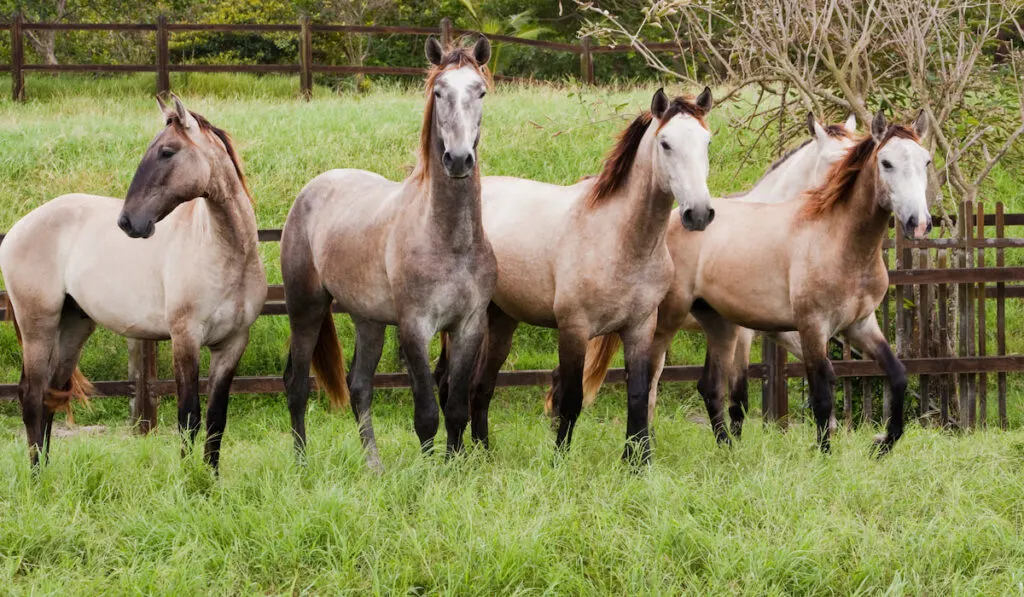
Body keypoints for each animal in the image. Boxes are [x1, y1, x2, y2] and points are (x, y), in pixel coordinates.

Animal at [1, 93, 264, 468]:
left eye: (167, 152)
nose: (127, 222)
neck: (227, 253)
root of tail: (16, 231)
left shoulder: (232, 344)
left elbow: (216, 421)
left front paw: (211, 478)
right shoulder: (186, 339)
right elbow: (189, 417)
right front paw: (188, 479)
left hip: (73, 327)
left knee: (50, 395)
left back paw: (47, 472)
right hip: (39, 327)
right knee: (32, 396)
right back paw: (36, 475)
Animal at [282, 36, 497, 471]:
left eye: (480, 91)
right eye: (438, 91)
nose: (459, 159)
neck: (451, 241)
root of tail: (311, 190)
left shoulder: (468, 326)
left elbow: (456, 409)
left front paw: (454, 467)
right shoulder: (415, 327)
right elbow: (427, 412)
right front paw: (431, 473)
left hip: (369, 321)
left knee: (360, 387)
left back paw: (373, 466)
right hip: (306, 309)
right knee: (296, 387)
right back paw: (301, 463)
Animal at [436, 88, 716, 464]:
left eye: (706, 142)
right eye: (666, 144)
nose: (698, 213)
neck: (620, 238)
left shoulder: (640, 327)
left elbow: (639, 396)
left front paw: (638, 464)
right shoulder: (574, 329)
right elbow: (570, 399)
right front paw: (559, 461)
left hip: (502, 320)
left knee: (481, 387)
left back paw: (485, 453)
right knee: (450, 385)